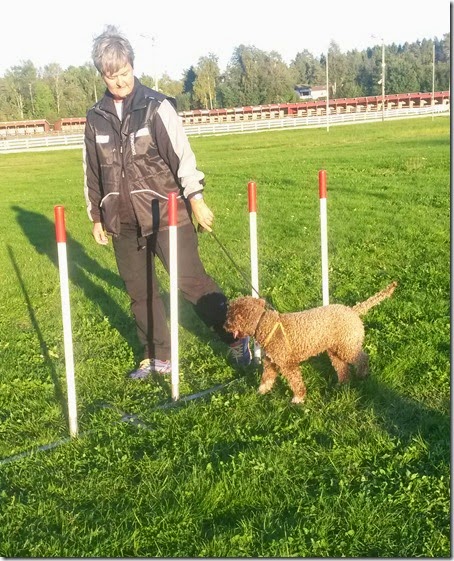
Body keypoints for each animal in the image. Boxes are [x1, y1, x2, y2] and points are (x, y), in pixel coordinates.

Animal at [224, 281, 397, 403]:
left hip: (347, 346)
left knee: (362, 358)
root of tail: (353, 310)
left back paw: (362, 374)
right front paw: (261, 392)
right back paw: (342, 384)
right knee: (342, 368)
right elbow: (267, 378)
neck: (264, 324)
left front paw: (298, 399)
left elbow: (295, 382)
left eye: (230, 315)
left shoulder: (288, 364)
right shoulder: (270, 362)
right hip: (335, 349)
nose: (224, 326)